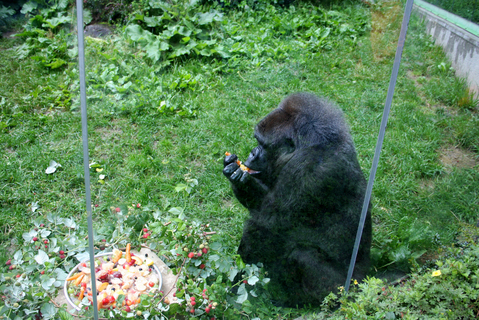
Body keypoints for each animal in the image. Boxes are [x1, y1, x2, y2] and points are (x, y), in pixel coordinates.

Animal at [223, 91, 374, 306]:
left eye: (263, 145)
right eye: (257, 142)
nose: (252, 153)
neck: (310, 144)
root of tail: (362, 281)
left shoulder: (307, 170)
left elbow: (266, 224)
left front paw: (237, 279)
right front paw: (235, 171)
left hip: (341, 289)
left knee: (301, 254)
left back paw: (297, 301)